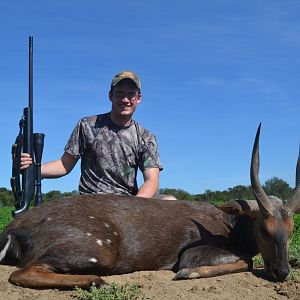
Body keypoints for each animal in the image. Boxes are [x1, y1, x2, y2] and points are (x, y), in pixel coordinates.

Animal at [0, 124, 298, 288]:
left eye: (291, 231)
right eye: (263, 230)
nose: (282, 272)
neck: (229, 226)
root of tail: (12, 230)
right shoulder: (192, 253)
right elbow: (246, 261)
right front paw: (187, 274)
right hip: (99, 252)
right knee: (21, 272)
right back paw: (95, 281)